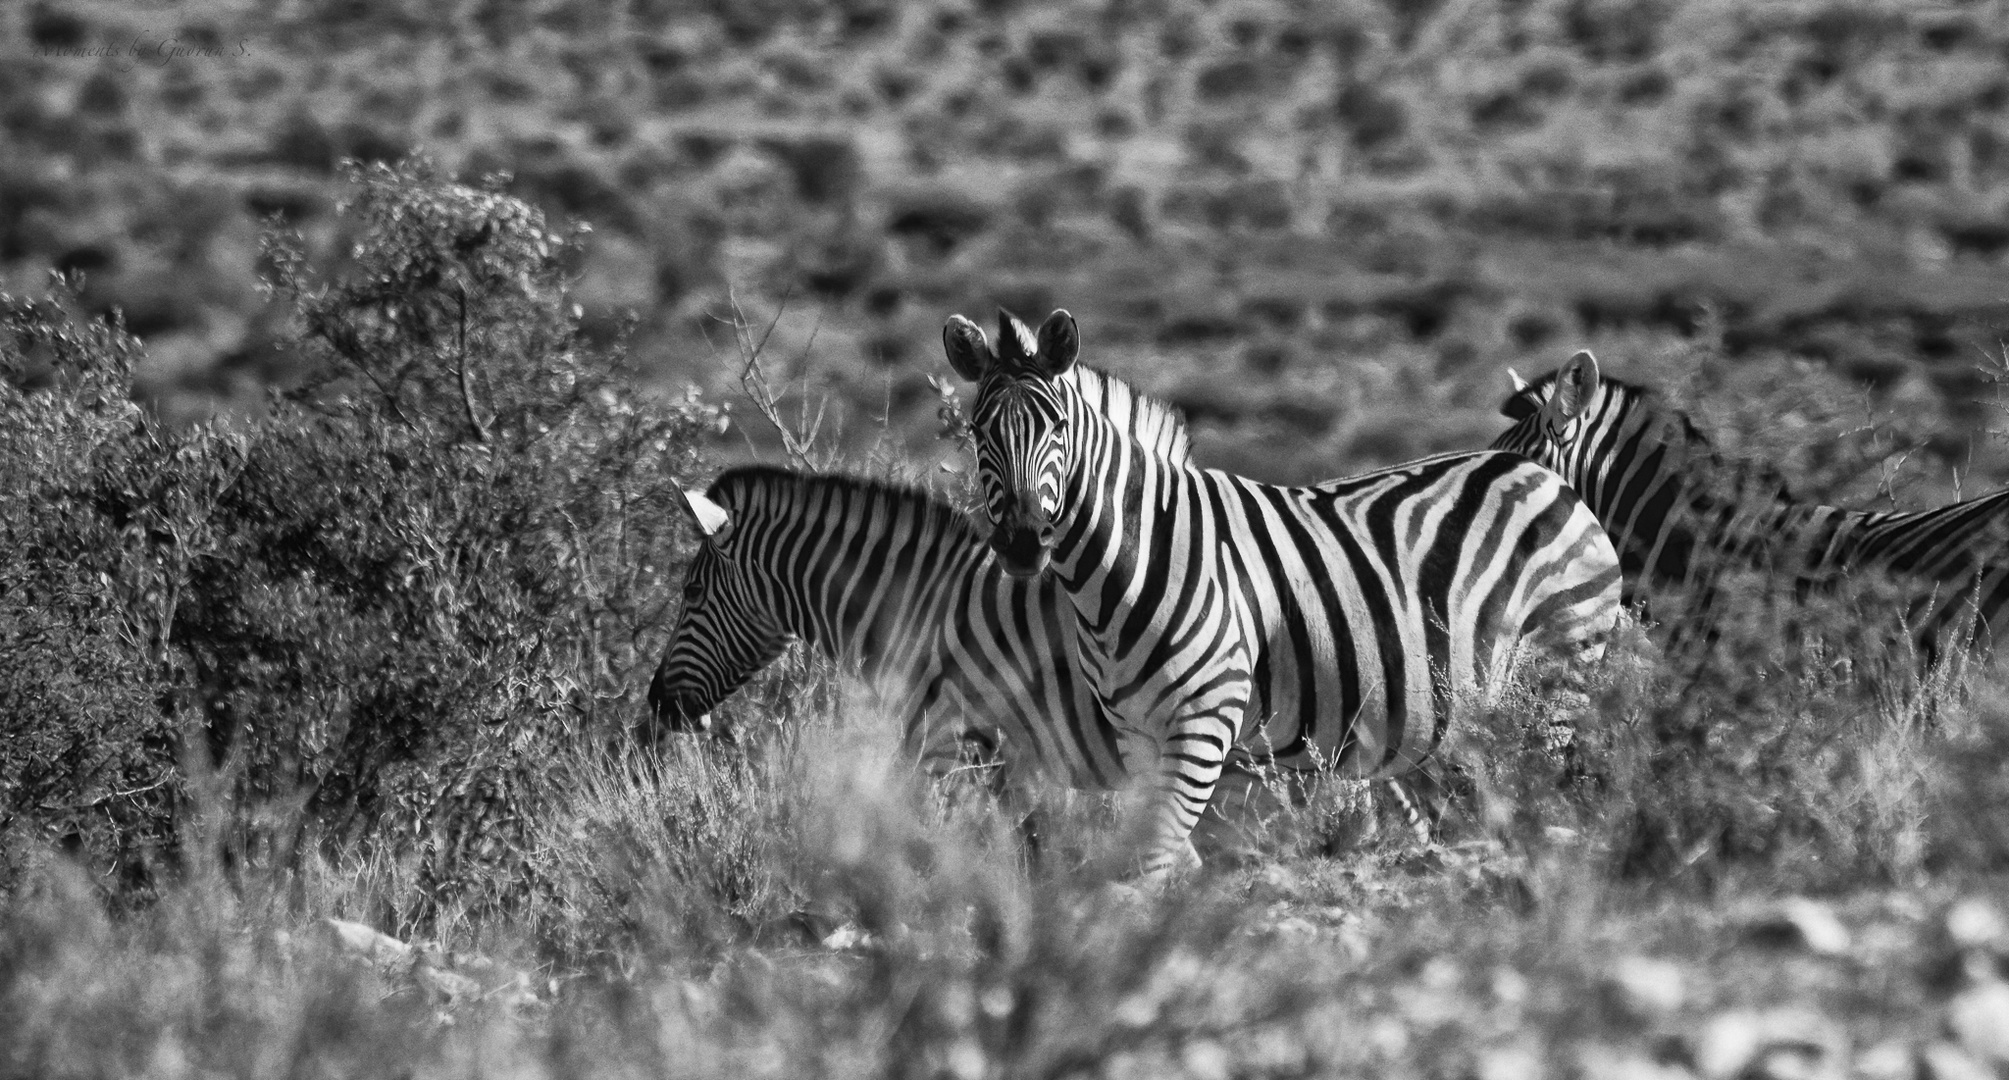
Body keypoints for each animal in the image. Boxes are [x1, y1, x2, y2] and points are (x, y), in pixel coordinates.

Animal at [944, 307, 1631, 879]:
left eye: (1057, 426)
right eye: (978, 431)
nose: (1023, 542)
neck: (1124, 571)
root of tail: (1543, 473)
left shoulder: (1203, 725)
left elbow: (1154, 859)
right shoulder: (1137, 737)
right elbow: (1160, 856)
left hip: (1560, 670)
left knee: (1549, 791)